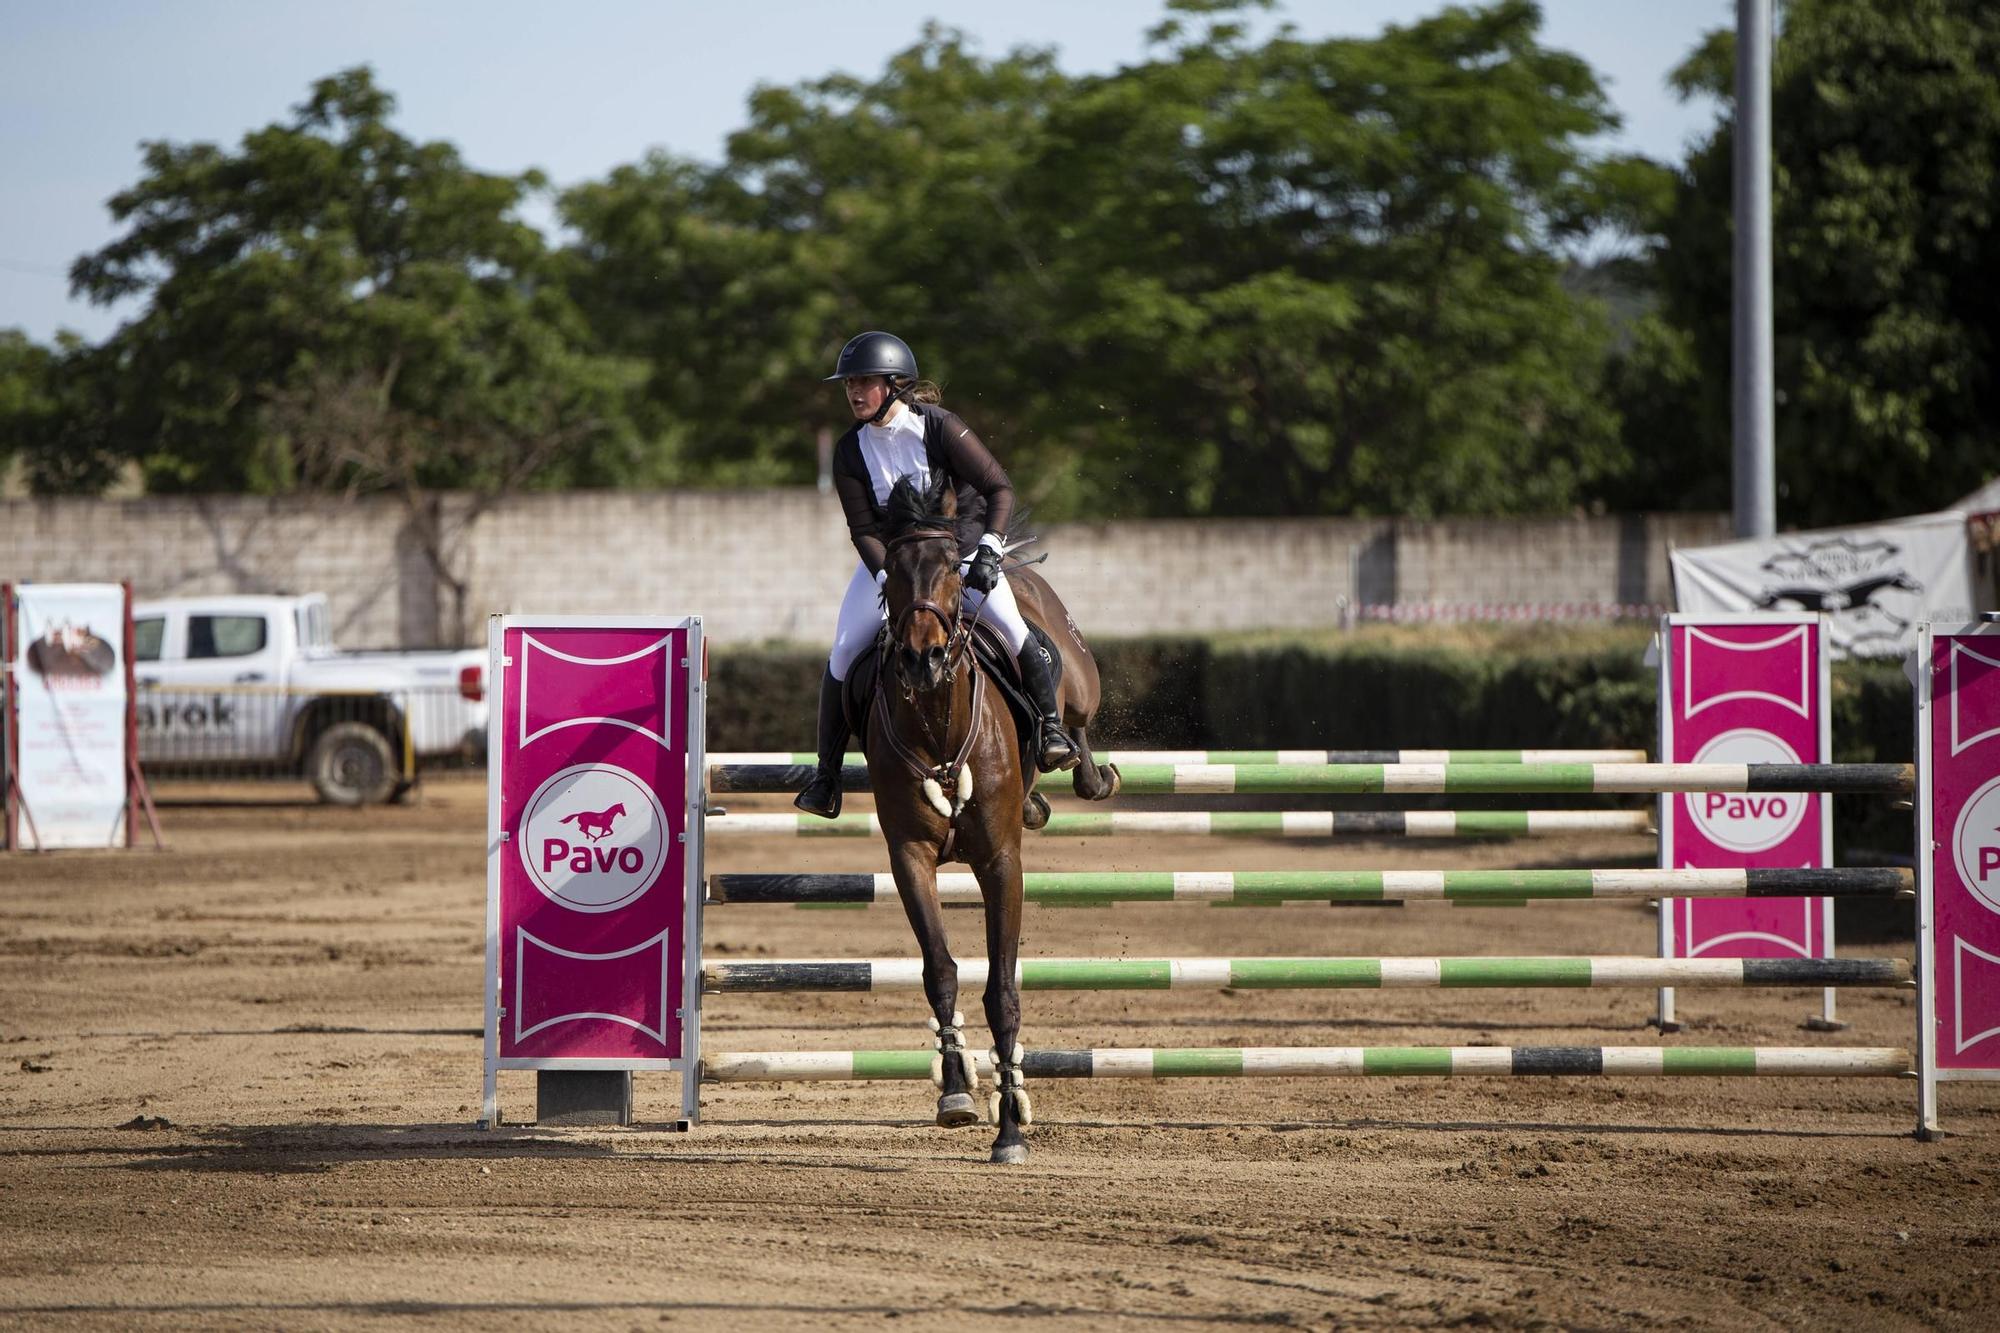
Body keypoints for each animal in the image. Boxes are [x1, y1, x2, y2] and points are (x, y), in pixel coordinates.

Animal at [852, 472, 1120, 1160]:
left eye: (951, 566)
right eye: (891, 571)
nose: (922, 658)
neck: (939, 725)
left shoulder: (1001, 861)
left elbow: (1002, 988)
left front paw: (1010, 1127)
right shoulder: (910, 858)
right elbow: (941, 970)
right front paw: (955, 1091)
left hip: (1078, 679)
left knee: (1075, 719)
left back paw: (1080, 765)